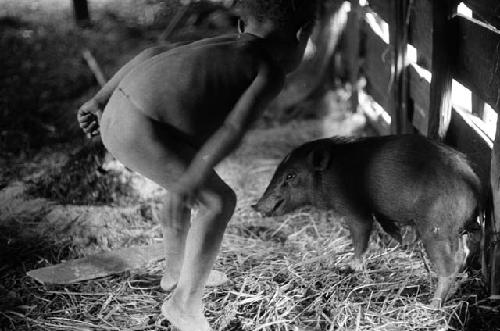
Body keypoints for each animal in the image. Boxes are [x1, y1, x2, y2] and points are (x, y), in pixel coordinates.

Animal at [252, 134, 482, 308]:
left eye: (291, 176)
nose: (255, 206)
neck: (331, 177)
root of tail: (473, 183)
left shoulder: (354, 208)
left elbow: (361, 234)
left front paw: (351, 266)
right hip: (454, 230)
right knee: (462, 254)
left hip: (435, 229)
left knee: (449, 266)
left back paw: (431, 305)